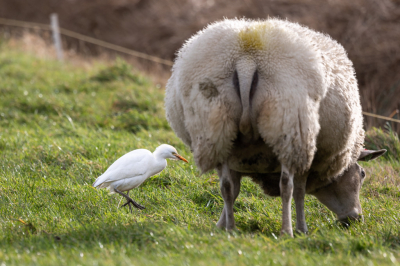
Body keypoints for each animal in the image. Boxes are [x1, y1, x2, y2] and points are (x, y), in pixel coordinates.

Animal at [164, 17, 386, 236]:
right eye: (362, 174)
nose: (355, 219)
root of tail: (246, 60)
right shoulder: (309, 157)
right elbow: (299, 192)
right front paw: (302, 229)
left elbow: (234, 189)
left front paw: (221, 224)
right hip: (289, 127)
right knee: (286, 187)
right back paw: (286, 230)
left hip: (216, 128)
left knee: (226, 186)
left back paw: (231, 229)